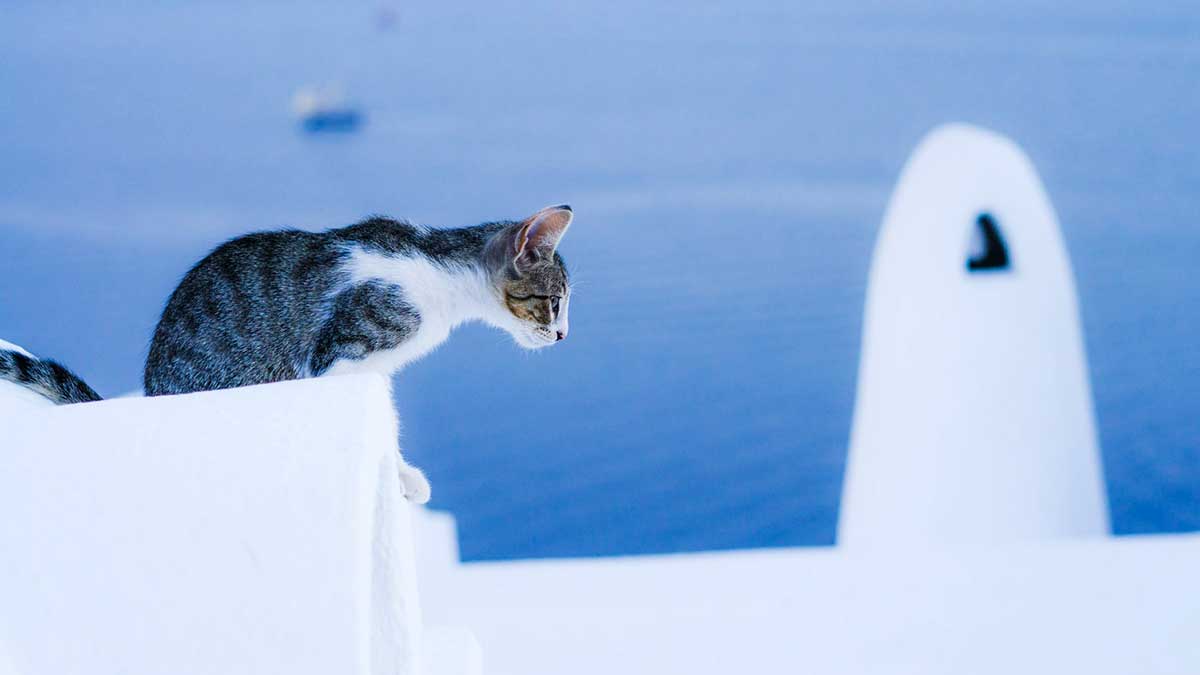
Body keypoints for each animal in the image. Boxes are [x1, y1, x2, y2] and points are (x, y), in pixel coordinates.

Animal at [0, 204, 576, 499]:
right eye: (555, 302)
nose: (564, 336)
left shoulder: (373, 370)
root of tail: (152, 391)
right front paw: (401, 475)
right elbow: (382, 421)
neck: (438, 271)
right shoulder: (344, 354)